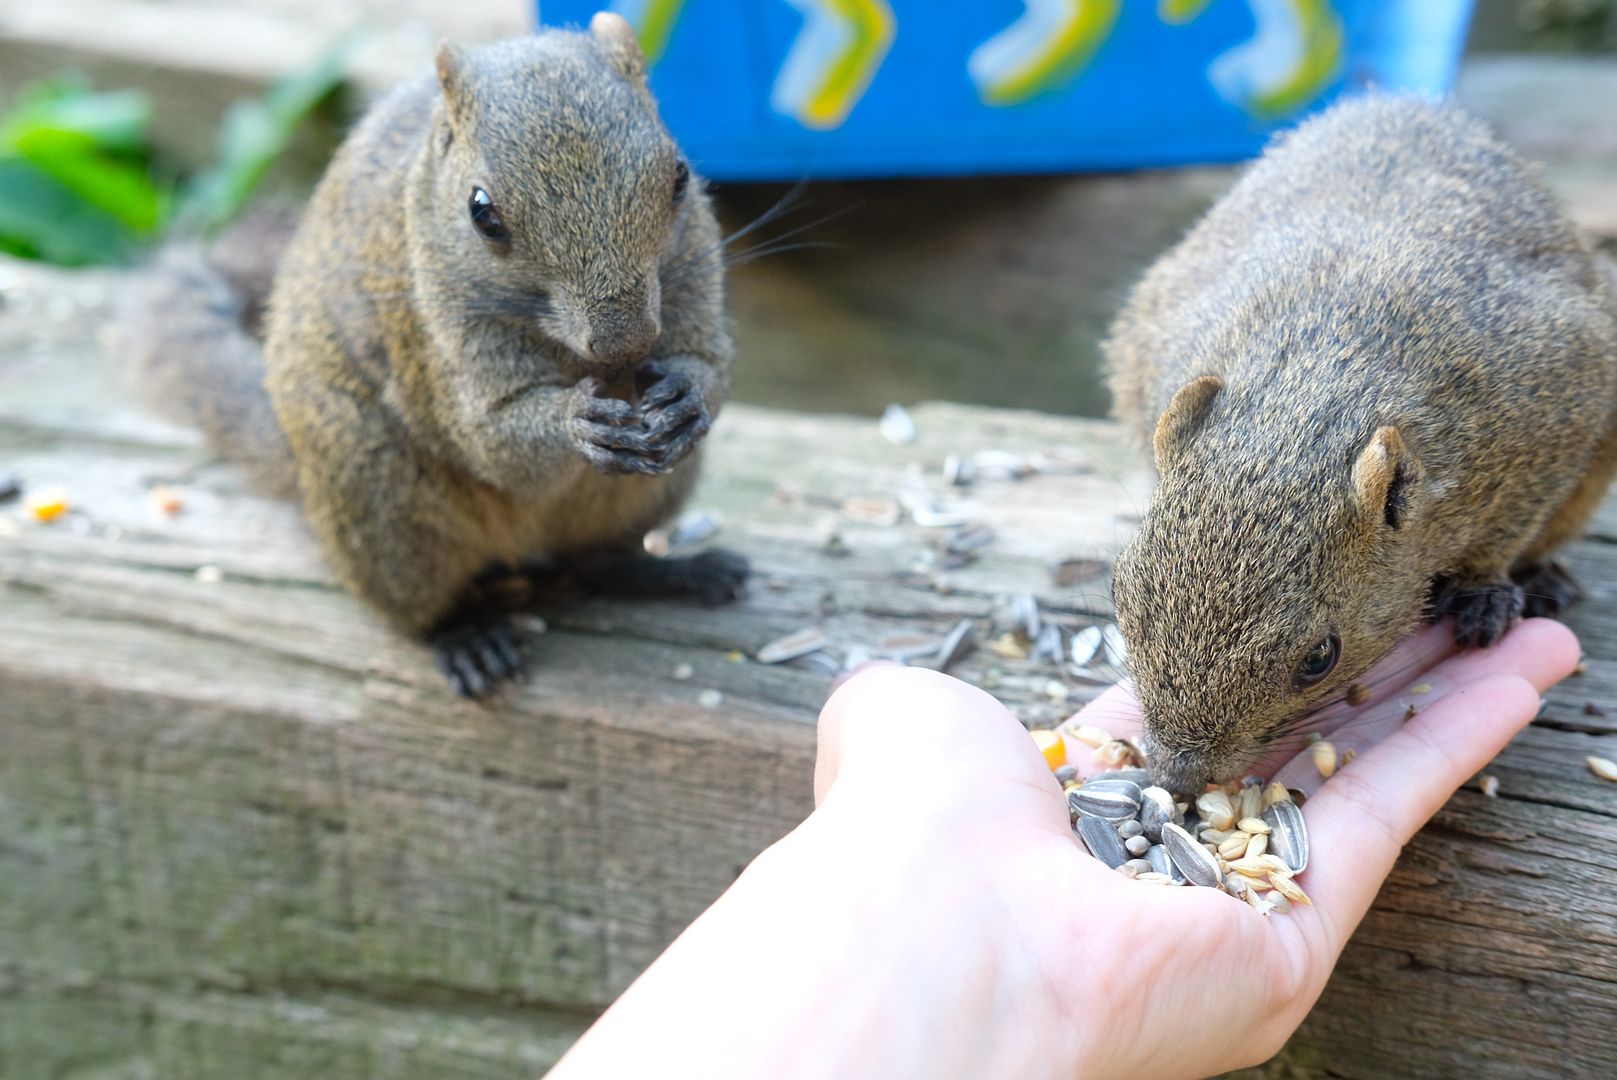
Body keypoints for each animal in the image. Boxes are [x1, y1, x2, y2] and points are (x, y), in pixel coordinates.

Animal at [124, 14, 743, 701]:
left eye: (681, 175)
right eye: (483, 213)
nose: (625, 344)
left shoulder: (694, 270)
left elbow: (707, 358)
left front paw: (687, 396)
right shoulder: (432, 335)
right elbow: (491, 437)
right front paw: (572, 423)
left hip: (647, 494)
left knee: (597, 561)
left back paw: (674, 573)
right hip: (379, 498)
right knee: (421, 604)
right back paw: (466, 634)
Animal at [1106, 92, 1617, 798]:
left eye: (1320, 658)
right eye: (1118, 596)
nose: (1178, 778)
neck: (1315, 386)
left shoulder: (1561, 398)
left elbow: (1510, 527)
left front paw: (1484, 596)